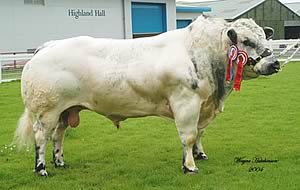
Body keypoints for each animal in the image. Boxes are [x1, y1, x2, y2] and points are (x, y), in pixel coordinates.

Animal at [15, 15, 278, 176]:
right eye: (246, 40)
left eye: (267, 38)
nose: (274, 63)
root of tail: (48, 46)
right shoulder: (186, 103)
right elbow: (189, 136)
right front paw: (189, 166)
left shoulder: (203, 106)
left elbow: (200, 133)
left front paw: (200, 155)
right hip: (47, 110)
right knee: (41, 137)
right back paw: (42, 168)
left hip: (65, 110)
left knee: (58, 135)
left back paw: (60, 162)